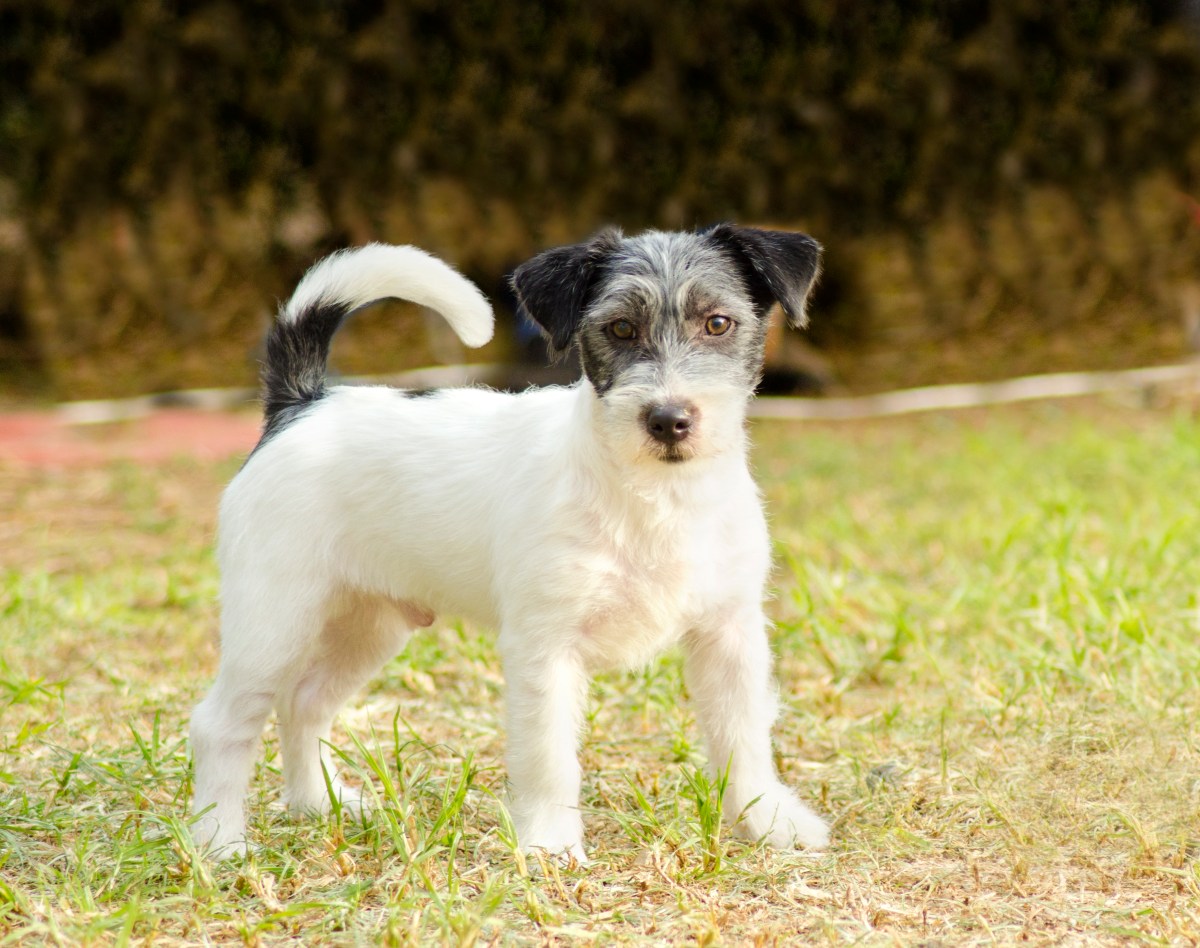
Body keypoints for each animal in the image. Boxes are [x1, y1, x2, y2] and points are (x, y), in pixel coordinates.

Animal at [189, 226, 825, 864]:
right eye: (621, 328)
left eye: (718, 323)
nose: (669, 419)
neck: (657, 498)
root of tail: (302, 405)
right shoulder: (545, 648)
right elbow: (550, 758)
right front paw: (552, 845)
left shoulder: (730, 635)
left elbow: (744, 740)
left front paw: (767, 821)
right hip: (274, 624)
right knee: (221, 724)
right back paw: (218, 840)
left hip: (366, 626)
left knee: (304, 705)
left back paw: (321, 804)